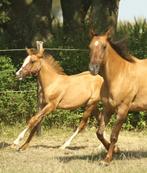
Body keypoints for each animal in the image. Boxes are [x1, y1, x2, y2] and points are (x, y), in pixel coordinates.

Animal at [88, 29, 147, 165]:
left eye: (104, 46)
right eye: (90, 47)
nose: (93, 69)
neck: (119, 75)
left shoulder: (122, 110)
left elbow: (113, 135)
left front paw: (107, 159)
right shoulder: (108, 109)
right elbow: (99, 133)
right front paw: (116, 150)